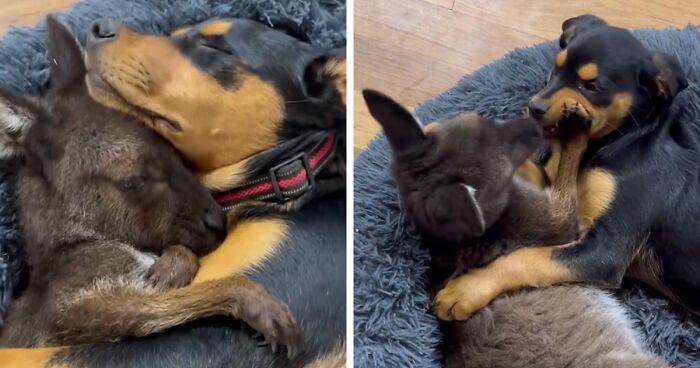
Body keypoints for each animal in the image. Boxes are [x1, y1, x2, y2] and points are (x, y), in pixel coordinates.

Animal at [434, 13, 696, 320]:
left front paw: (466, 289)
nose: (533, 107)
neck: (622, 138)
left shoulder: (606, 249)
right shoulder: (557, 196)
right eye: (555, 68)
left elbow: (527, 257)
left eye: (591, 87)